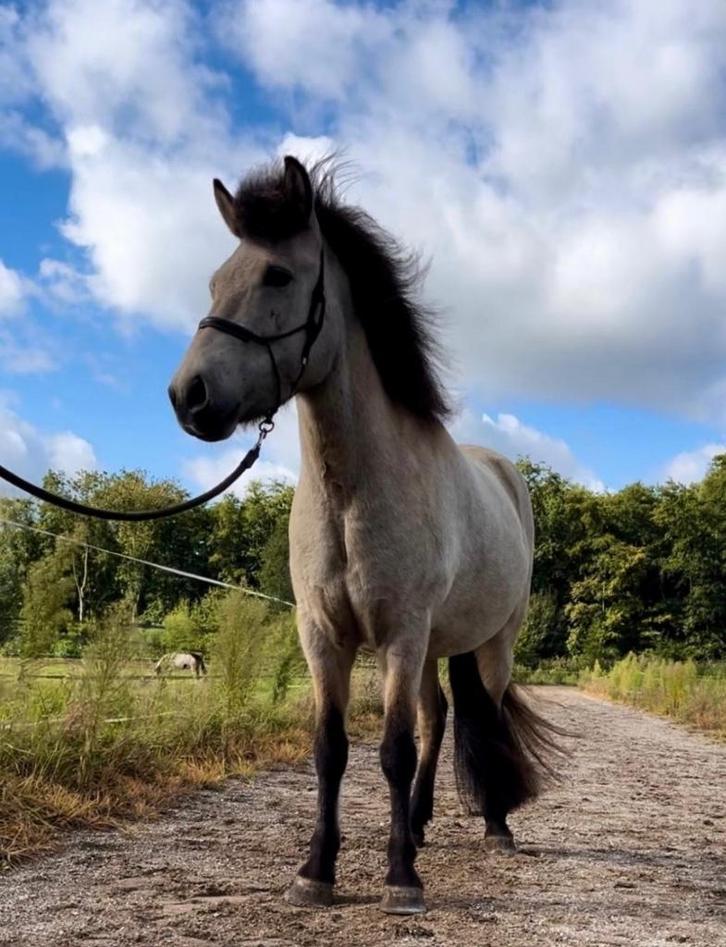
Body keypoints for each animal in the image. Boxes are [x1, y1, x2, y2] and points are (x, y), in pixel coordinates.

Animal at [168, 156, 562, 915]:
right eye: (214, 279)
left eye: (278, 276)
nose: (188, 396)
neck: (353, 495)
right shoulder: (325, 635)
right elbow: (333, 749)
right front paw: (316, 870)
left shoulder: (401, 635)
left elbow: (392, 751)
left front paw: (401, 878)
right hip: (437, 648)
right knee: (439, 717)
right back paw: (420, 822)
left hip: (491, 644)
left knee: (484, 715)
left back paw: (494, 824)